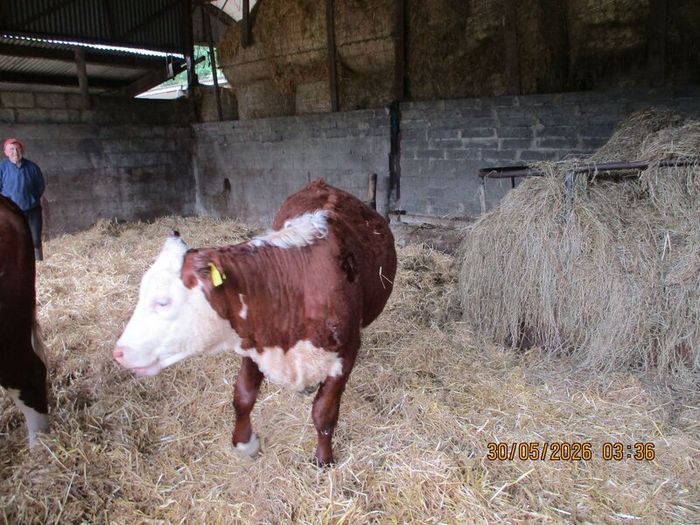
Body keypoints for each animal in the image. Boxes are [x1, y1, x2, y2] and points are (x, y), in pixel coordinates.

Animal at [114, 180, 397, 465]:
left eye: (163, 302)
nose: (119, 352)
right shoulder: (254, 338)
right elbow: (243, 396)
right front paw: (244, 443)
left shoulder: (345, 353)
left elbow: (324, 412)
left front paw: (323, 459)